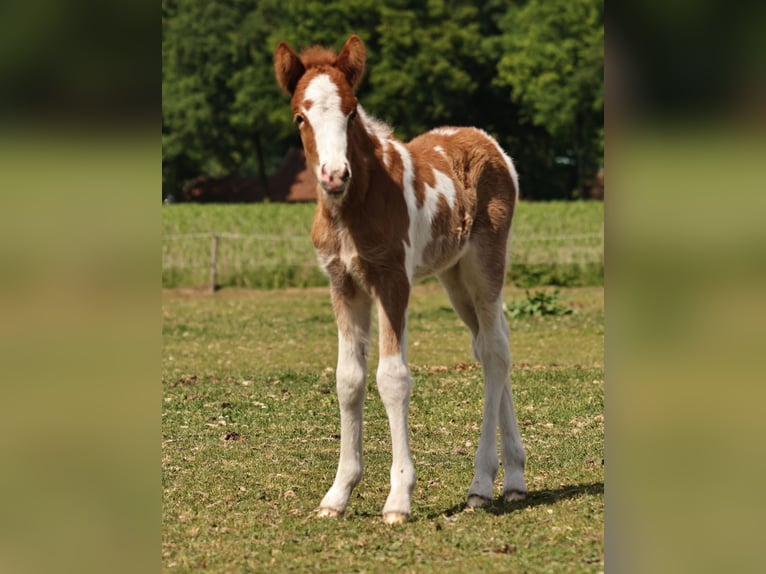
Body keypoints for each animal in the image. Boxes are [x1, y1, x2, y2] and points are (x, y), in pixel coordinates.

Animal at [274, 34, 527, 524]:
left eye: (351, 111)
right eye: (300, 116)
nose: (334, 175)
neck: (357, 205)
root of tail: (491, 144)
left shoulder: (393, 281)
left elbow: (391, 378)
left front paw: (398, 499)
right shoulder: (343, 284)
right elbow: (348, 379)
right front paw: (338, 493)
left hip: (485, 264)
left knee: (494, 351)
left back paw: (481, 485)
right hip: (454, 276)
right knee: (491, 347)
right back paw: (515, 480)